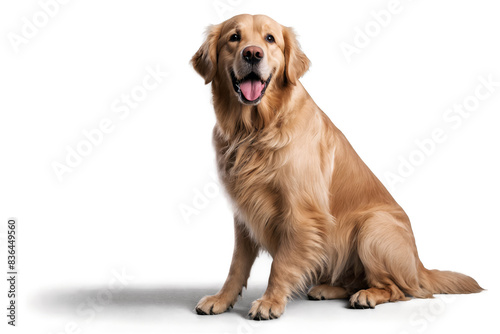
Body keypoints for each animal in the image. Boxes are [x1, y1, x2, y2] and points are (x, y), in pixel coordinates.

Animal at [189, 13, 482, 320]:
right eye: (234, 37)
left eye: (270, 39)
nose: (253, 53)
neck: (255, 130)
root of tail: (418, 264)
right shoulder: (244, 214)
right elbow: (237, 265)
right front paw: (221, 299)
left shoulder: (302, 213)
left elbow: (280, 264)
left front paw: (270, 302)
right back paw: (328, 289)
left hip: (372, 227)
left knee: (397, 289)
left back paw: (366, 295)